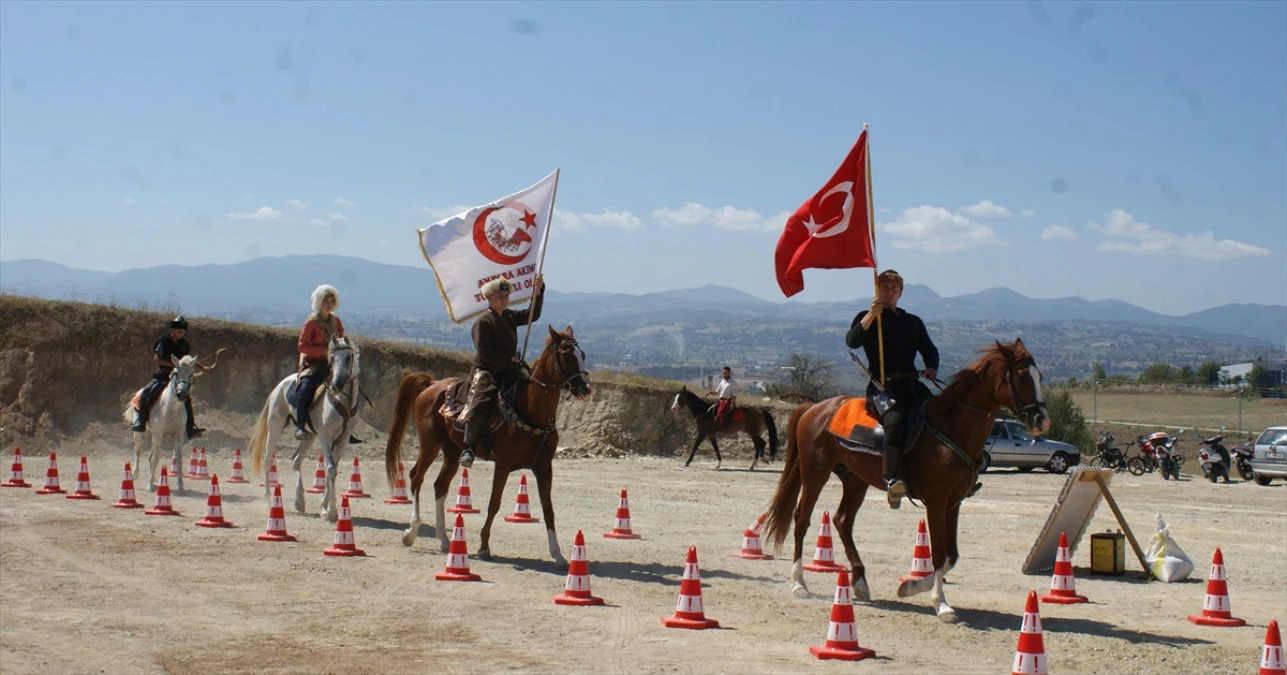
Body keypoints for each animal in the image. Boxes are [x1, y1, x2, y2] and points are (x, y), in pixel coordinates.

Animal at [121, 355, 202, 492]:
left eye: (191, 374)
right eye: (176, 373)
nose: (181, 394)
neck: (171, 408)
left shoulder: (178, 435)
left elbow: (179, 460)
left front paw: (180, 486)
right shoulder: (158, 434)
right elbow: (155, 459)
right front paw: (149, 486)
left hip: (157, 437)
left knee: (150, 455)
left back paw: (154, 481)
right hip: (142, 434)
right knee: (138, 451)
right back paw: (135, 474)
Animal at [247, 337, 360, 522]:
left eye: (349, 357)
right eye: (332, 358)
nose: (336, 385)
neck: (342, 401)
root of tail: (279, 386)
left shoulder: (341, 442)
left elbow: (331, 470)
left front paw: (325, 507)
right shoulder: (325, 438)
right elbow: (331, 469)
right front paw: (330, 511)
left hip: (309, 436)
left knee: (296, 460)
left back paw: (299, 502)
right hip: (275, 428)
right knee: (267, 461)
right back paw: (269, 500)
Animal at [383, 327, 594, 564]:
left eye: (582, 355)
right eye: (566, 355)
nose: (586, 388)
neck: (530, 410)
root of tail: (431, 385)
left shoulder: (543, 467)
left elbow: (548, 509)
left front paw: (557, 554)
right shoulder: (502, 464)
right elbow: (494, 503)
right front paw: (484, 547)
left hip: (452, 451)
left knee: (440, 486)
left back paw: (444, 540)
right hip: (430, 444)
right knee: (416, 477)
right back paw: (411, 532)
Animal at [761, 337, 1045, 623]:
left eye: (1040, 376)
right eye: (1022, 376)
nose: (1041, 419)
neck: (952, 428)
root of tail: (815, 408)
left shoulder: (954, 503)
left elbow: (951, 555)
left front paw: (910, 586)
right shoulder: (936, 502)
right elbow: (938, 553)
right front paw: (941, 604)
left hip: (855, 481)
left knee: (842, 521)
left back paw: (860, 582)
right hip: (814, 474)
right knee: (802, 519)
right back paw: (799, 584)